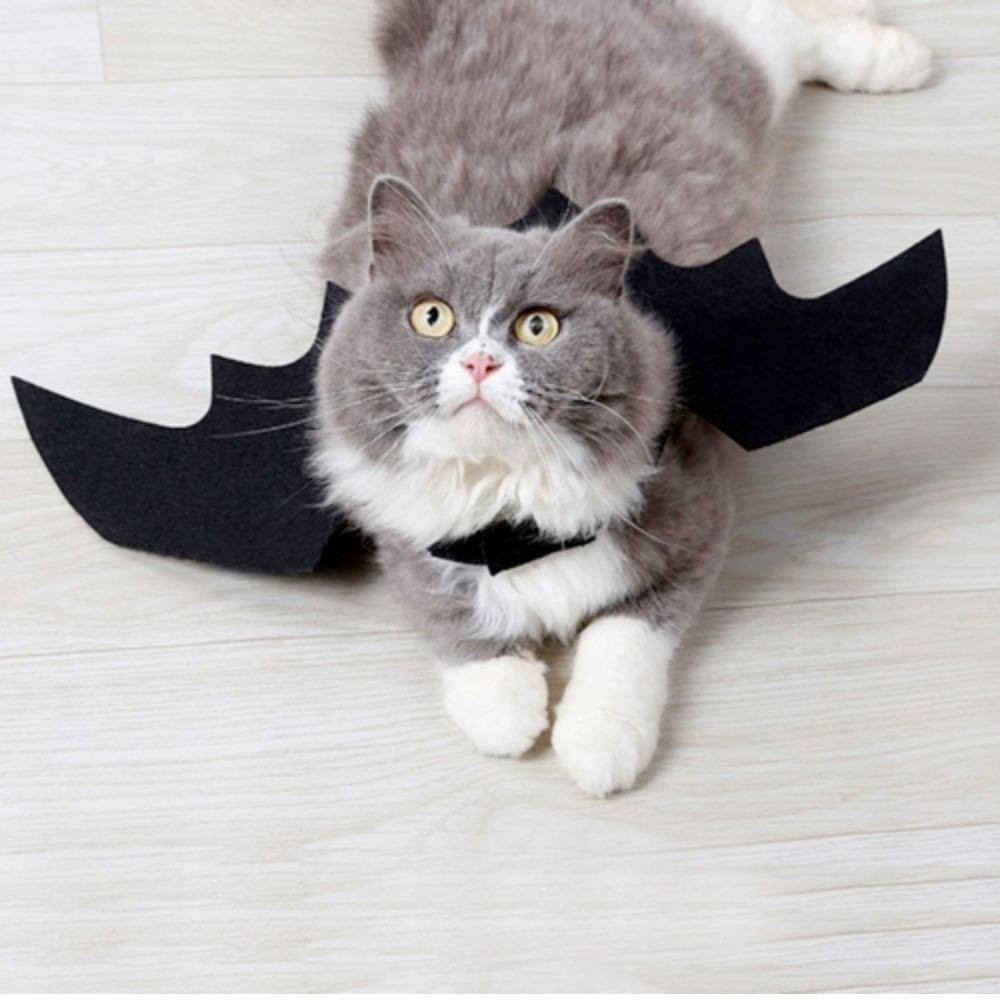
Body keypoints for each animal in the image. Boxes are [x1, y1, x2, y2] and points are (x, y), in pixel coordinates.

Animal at [311, 0, 932, 796]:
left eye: (537, 325)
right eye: (432, 317)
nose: (479, 361)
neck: (513, 520)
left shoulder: (692, 520)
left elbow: (622, 640)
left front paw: (598, 746)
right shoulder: (403, 537)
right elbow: (451, 622)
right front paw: (508, 710)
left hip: (740, 63)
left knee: (790, 24)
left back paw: (902, 58)